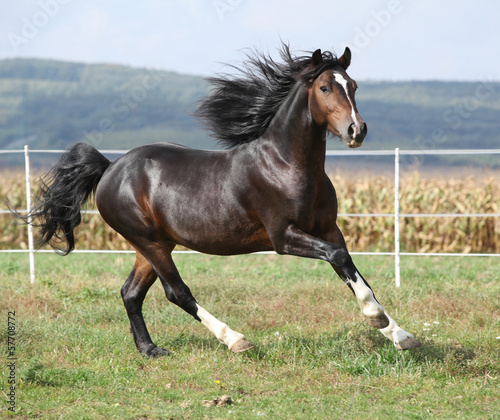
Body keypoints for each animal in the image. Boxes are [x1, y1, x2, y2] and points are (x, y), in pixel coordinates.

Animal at [30, 45, 422, 354]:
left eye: (353, 86)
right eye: (325, 87)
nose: (357, 131)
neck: (286, 165)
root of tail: (110, 167)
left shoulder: (327, 229)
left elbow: (350, 268)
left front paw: (399, 334)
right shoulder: (283, 237)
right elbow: (340, 259)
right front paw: (377, 319)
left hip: (154, 244)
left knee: (131, 292)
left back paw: (150, 349)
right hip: (149, 241)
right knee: (176, 292)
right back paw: (235, 340)